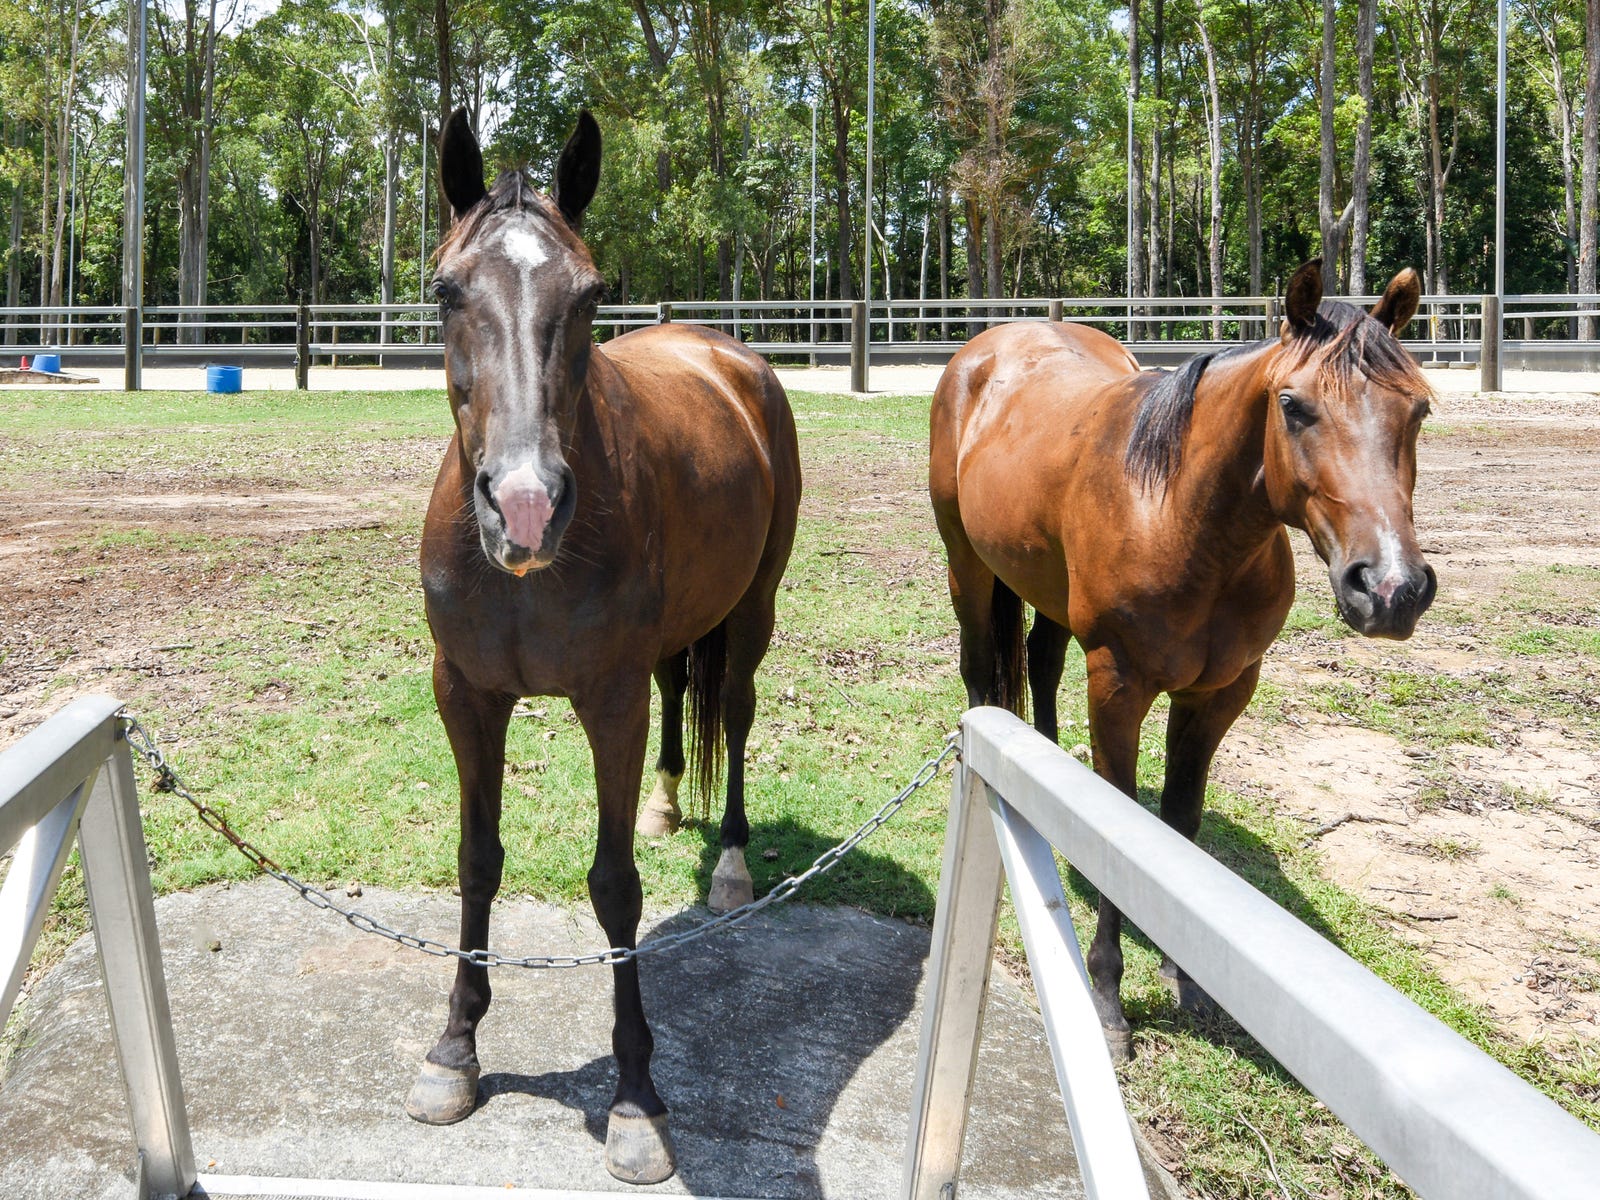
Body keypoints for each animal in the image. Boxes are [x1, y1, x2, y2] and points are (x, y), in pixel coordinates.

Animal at [406, 107, 801, 1185]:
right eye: (447, 289)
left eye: (587, 295)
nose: (526, 505)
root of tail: (726, 355)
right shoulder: (465, 694)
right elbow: (476, 859)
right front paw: (454, 1049)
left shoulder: (609, 701)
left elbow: (614, 888)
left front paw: (635, 1098)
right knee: (681, 694)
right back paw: (668, 806)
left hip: (752, 610)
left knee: (734, 714)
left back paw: (730, 865)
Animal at [929, 259, 1435, 1058]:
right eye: (1293, 406)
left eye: (1417, 411)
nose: (1390, 589)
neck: (1178, 515)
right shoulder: (1118, 685)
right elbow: (1120, 823)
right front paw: (1108, 996)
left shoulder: (1220, 694)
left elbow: (1176, 823)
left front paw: (1184, 976)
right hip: (969, 568)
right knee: (984, 675)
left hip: (1042, 585)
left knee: (1040, 663)